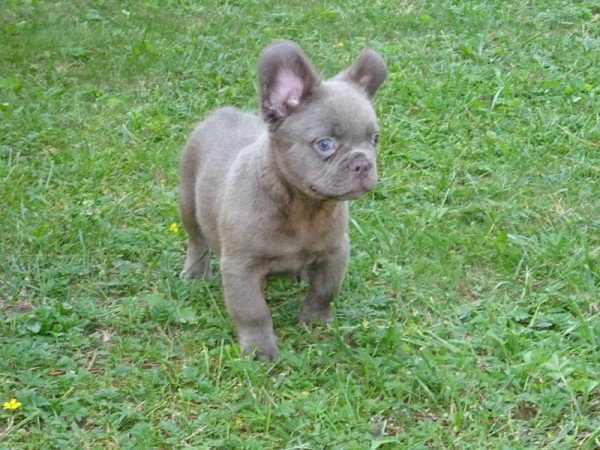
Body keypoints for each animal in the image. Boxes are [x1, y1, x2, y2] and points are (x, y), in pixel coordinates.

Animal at [178, 40, 386, 360]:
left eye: (374, 140)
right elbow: (252, 311)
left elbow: (324, 292)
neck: (304, 206)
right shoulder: (240, 267)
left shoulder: (335, 252)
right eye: (325, 145)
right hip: (188, 201)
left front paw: (315, 321)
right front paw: (259, 349)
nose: (363, 163)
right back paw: (196, 273)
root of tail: (220, 113)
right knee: (197, 240)